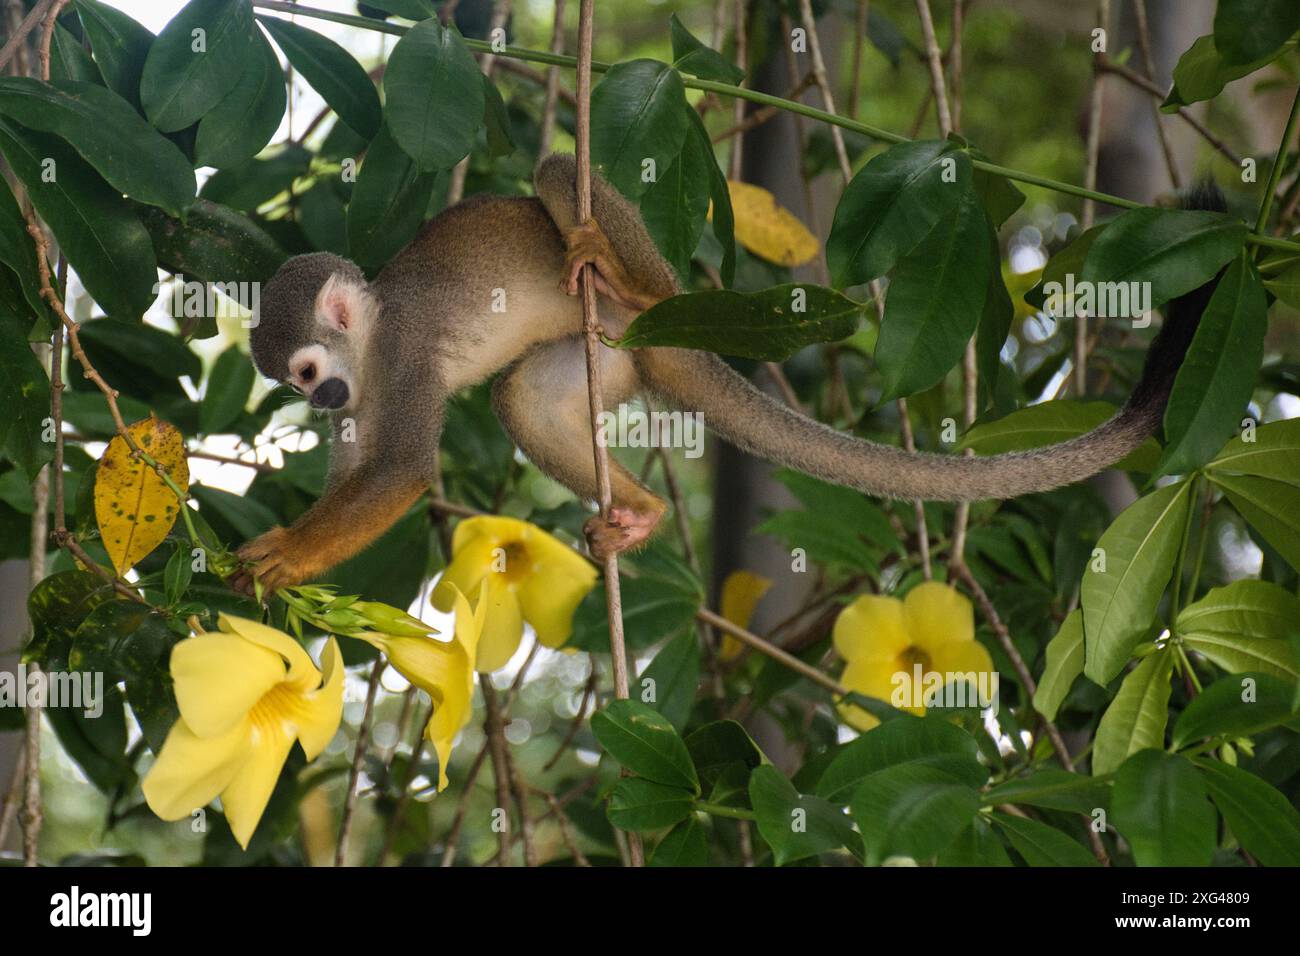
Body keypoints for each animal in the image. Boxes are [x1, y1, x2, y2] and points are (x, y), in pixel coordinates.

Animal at [231, 153, 1216, 595]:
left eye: (309, 369)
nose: (323, 397)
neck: (372, 341)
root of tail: (673, 332)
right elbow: (366, 468)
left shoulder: (399, 357)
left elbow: (401, 470)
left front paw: (285, 552)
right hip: (610, 357)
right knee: (524, 398)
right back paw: (641, 513)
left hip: (641, 300)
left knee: (560, 169)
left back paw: (618, 273)